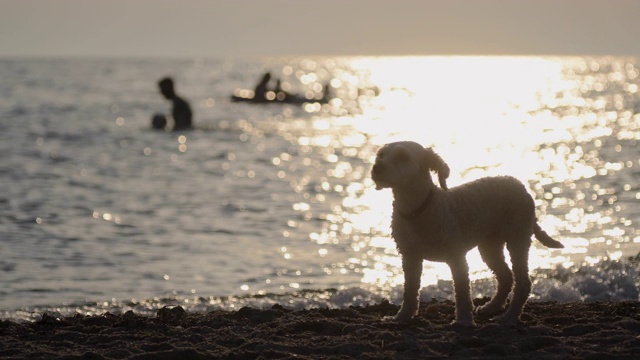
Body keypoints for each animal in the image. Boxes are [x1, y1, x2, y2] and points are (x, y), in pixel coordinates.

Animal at [370, 141, 564, 326]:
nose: (377, 167)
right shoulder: (410, 257)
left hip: (518, 238)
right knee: (505, 277)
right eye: (380, 155)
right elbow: (410, 291)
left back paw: (508, 317)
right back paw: (491, 307)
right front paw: (401, 317)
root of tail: (519, 185)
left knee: (522, 283)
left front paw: (463, 321)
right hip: (490, 245)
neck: (418, 209)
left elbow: (462, 292)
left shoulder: (456, 257)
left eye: (402, 157)